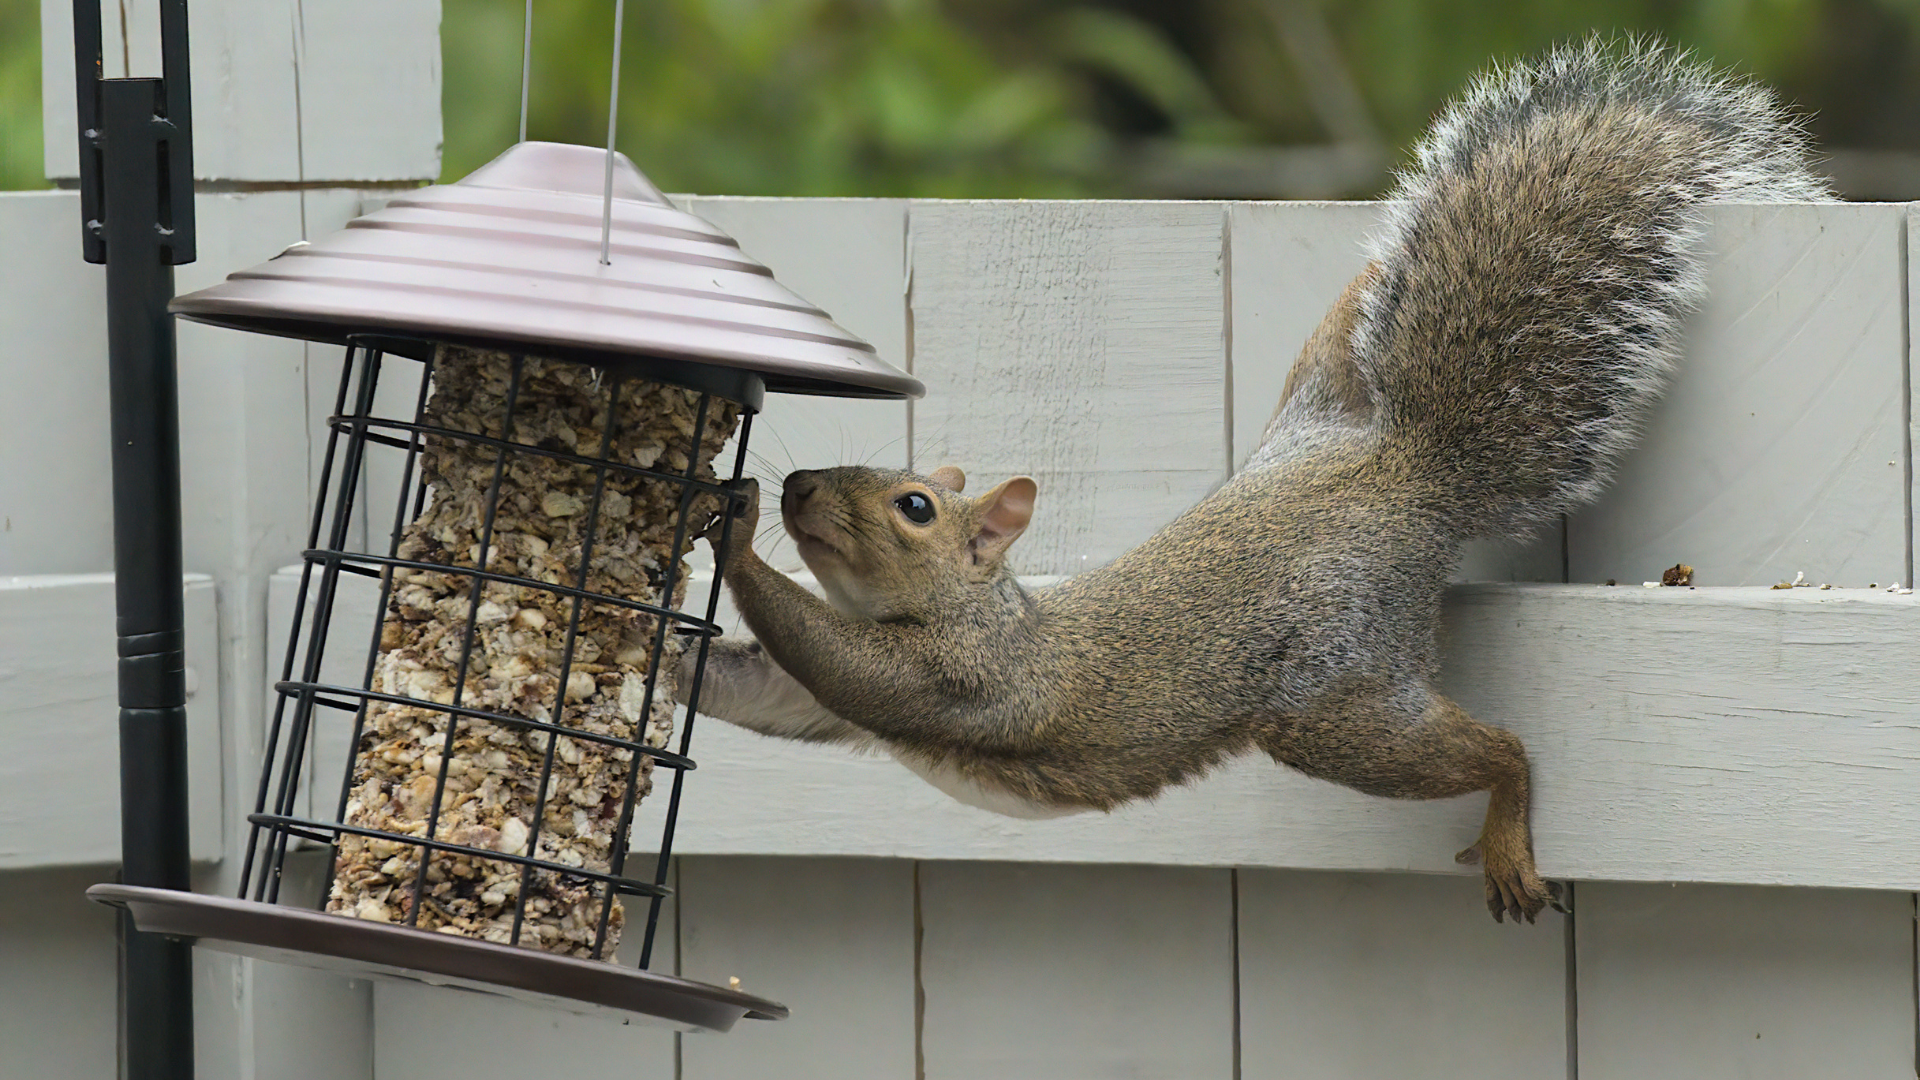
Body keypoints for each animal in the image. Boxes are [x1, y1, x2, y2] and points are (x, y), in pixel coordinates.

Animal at [676, 39, 1832, 923]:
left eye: (913, 507)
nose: (796, 487)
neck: (965, 602)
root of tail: (1401, 471)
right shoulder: (820, 702)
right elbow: (757, 690)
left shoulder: (971, 676)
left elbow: (846, 665)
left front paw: (730, 525)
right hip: (1317, 392)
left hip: (1334, 691)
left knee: (1499, 750)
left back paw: (1508, 820)